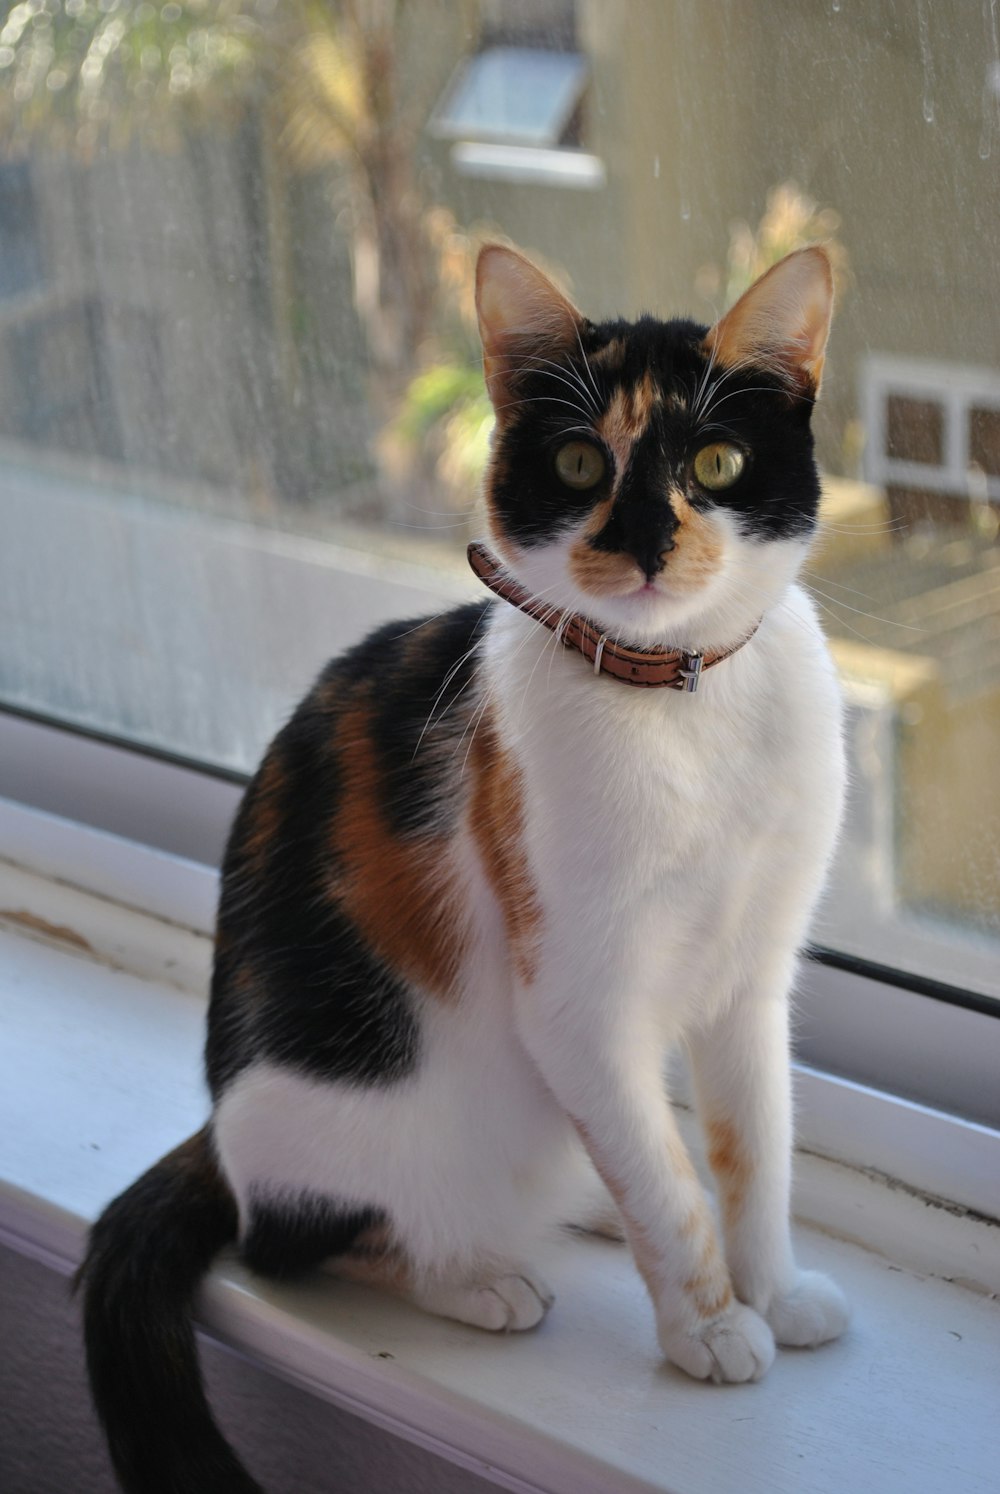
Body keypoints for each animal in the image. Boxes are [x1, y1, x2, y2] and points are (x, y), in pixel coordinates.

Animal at [79, 245, 843, 1494]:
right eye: (578, 462)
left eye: (717, 462)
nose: (642, 544)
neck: (681, 704)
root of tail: (217, 1142)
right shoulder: (576, 1005)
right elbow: (668, 1191)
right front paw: (711, 1327)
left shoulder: (751, 975)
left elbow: (751, 1151)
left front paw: (771, 1291)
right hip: (347, 1122)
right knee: (292, 1240)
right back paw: (476, 1274)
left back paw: (580, 1201)